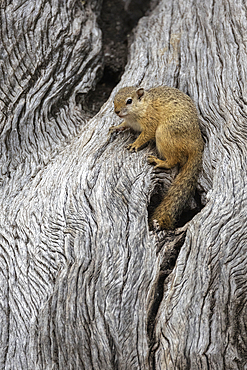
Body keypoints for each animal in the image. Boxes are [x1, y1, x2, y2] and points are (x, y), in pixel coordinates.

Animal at [109, 87, 204, 231]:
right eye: (114, 99)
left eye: (129, 101)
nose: (117, 112)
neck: (143, 107)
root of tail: (196, 143)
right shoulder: (129, 122)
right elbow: (124, 124)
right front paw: (116, 127)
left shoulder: (150, 121)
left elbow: (145, 134)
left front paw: (135, 144)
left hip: (164, 133)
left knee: (175, 160)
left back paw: (159, 162)